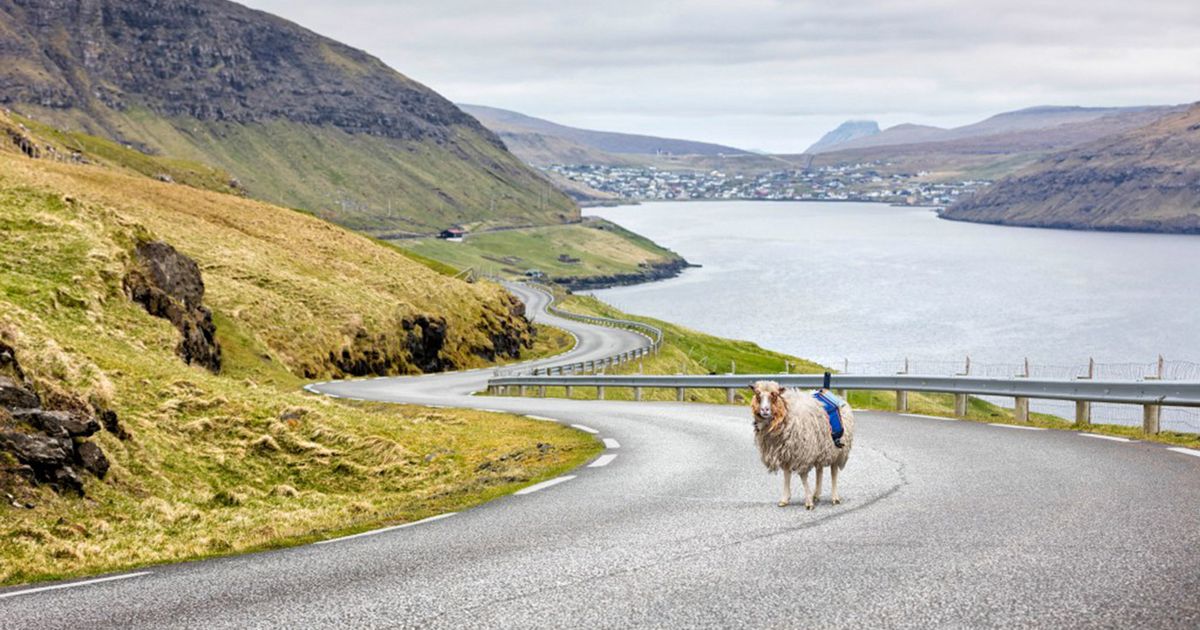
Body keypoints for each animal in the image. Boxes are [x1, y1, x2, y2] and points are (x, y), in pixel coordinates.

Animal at [749, 380, 855, 509]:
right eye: (757, 394)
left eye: (774, 395)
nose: (764, 410)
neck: (786, 412)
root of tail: (837, 397)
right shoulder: (785, 452)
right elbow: (786, 475)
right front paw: (785, 499)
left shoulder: (802, 452)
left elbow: (803, 477)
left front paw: (808, 502)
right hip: (820, 447)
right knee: (819, 470)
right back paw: (816, 494)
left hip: (837, 450)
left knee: (833, 472)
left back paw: (834, 497)